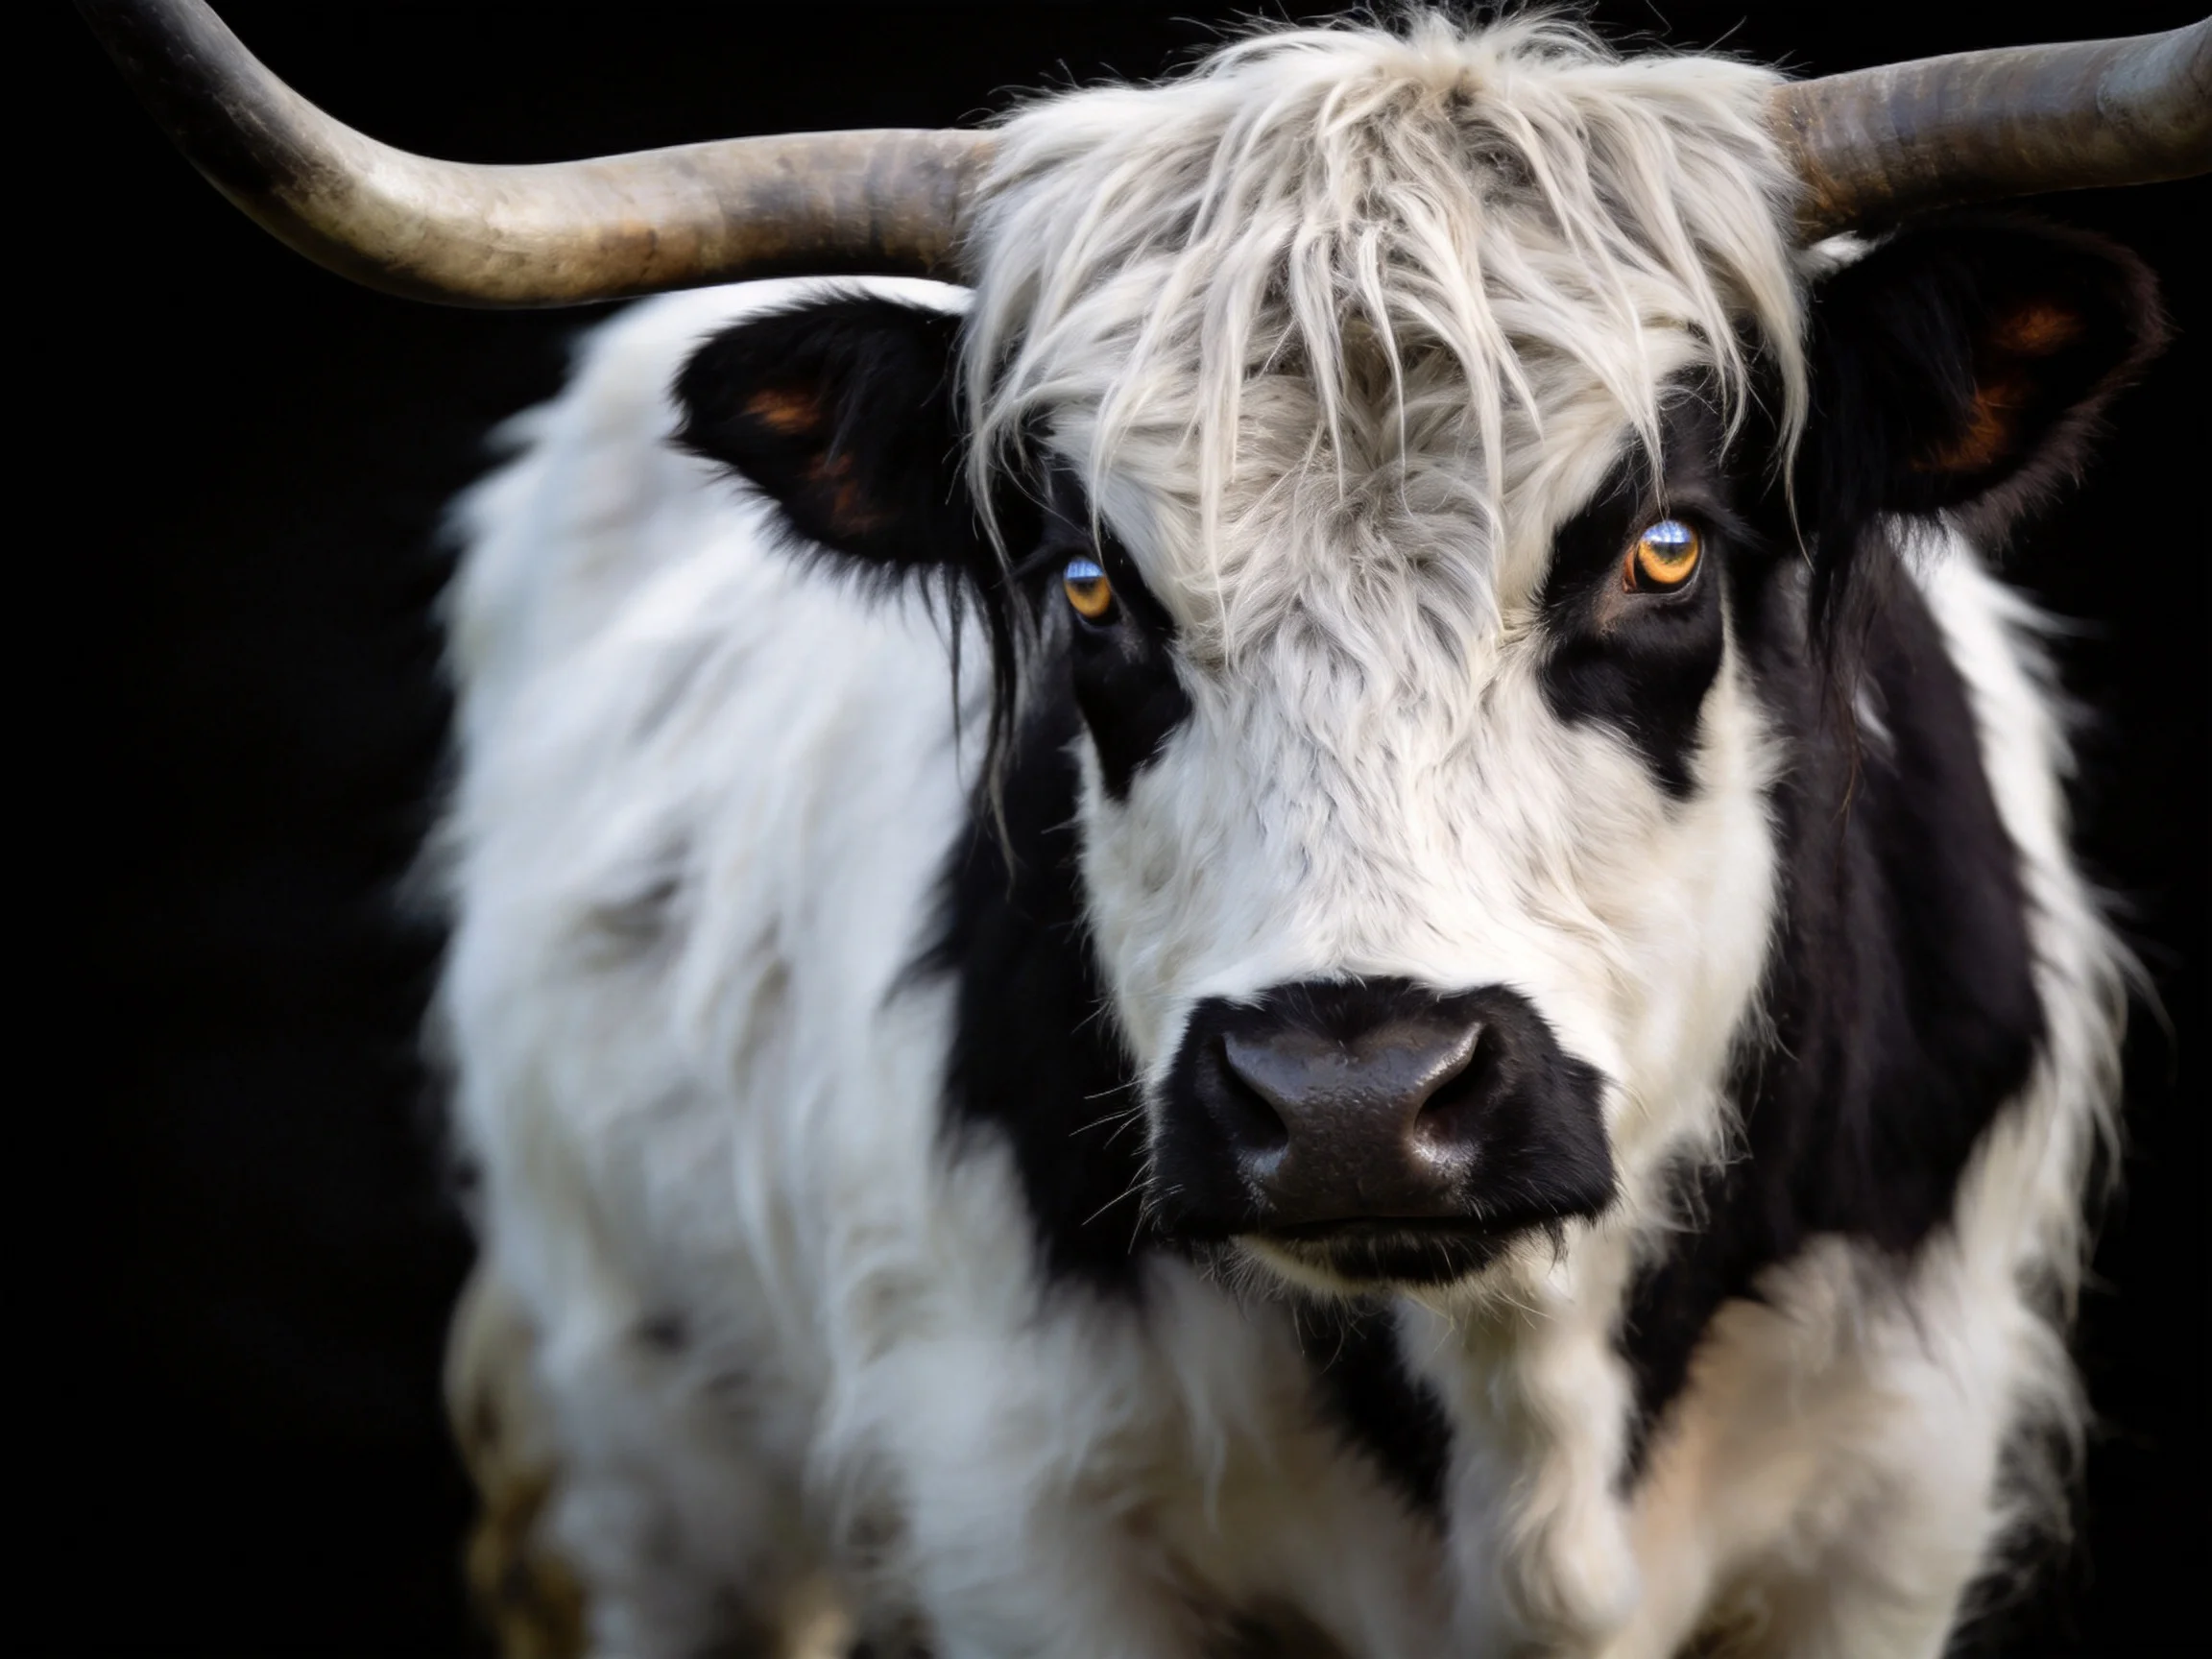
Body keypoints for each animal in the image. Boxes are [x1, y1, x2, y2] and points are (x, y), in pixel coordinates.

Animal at [84, 2, 2209, 1655]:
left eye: (1665, 546)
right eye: (1091, 580)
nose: (1352, 1097)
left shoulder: (1888, 1509)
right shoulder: (1024, 1519)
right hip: (648, 1469)